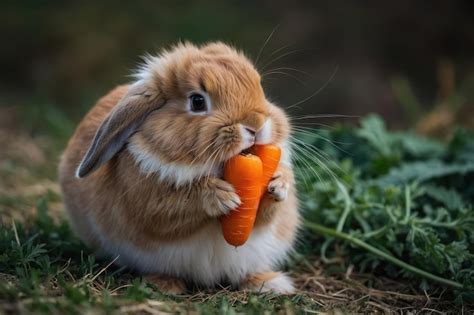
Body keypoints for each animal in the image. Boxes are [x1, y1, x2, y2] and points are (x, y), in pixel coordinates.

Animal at [59, 42, 300, 296]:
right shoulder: (151, 204)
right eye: (197, 101)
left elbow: (265, 216)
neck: (218, 168)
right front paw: (222, 197)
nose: (256, 125)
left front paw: (279, 183)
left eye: (259, 87)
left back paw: (271, 283)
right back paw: (165, 285)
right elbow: (176, 207)